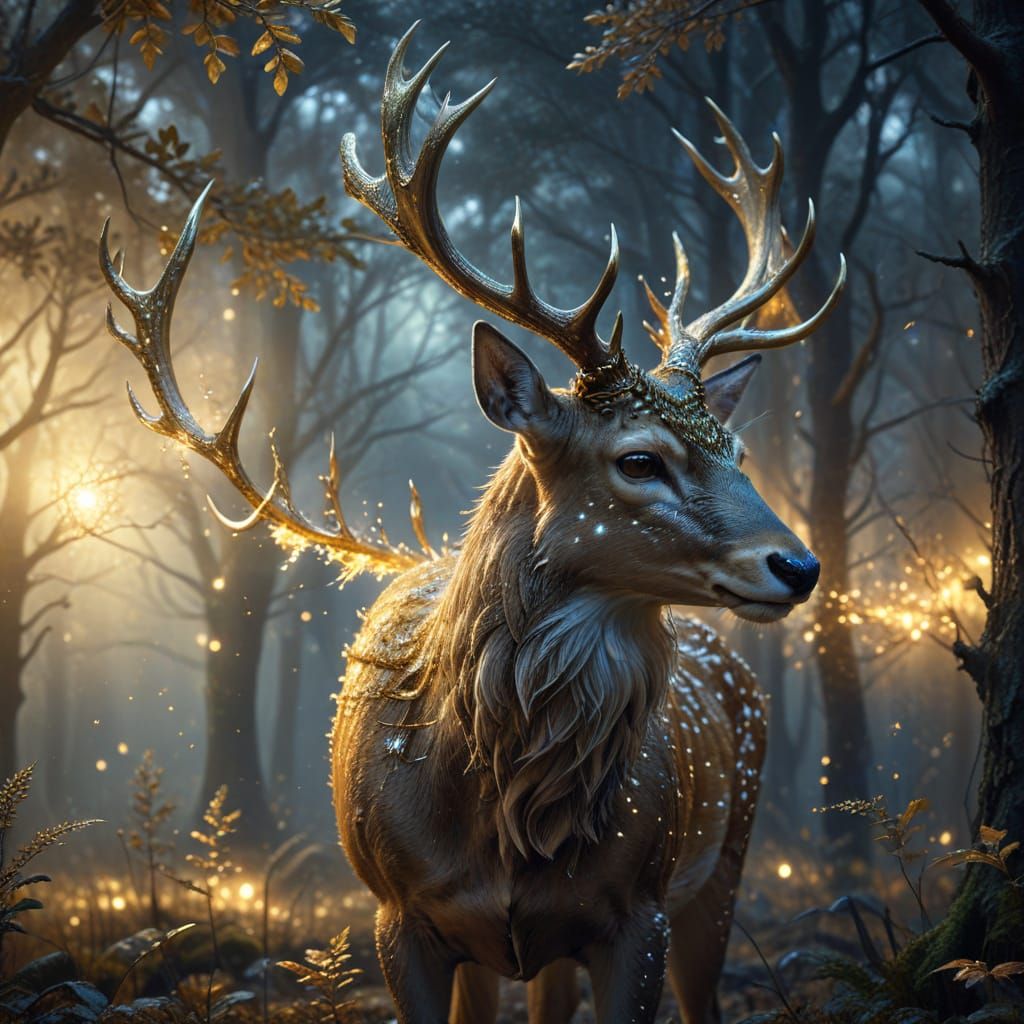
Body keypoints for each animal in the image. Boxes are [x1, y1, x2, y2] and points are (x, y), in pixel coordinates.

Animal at [99, 24, 844, 1024]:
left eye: (736, 446)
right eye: (639, 459)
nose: (797, 565)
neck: (500, 817)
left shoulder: (638, 911)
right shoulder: (397, 915)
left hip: (724, 859)